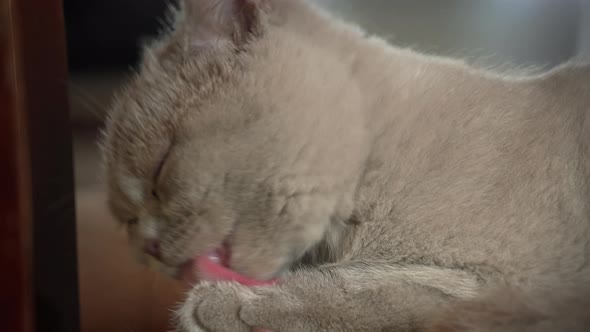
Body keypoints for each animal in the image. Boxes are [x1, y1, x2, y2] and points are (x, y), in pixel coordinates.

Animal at [100, 0, 590, 332]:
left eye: (160, 170)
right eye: (127, 221)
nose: (147, 248)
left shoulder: (522, 283)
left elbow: (373, 293)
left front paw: (229, 307)